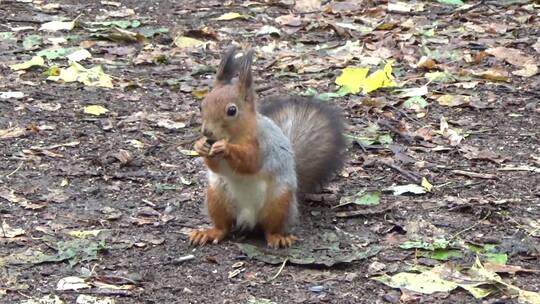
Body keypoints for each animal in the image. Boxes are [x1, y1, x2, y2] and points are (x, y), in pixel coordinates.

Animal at [188, 46, 344, 248]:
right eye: (201, 105)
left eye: (232, 110)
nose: (207, 132)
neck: (235, 135)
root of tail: (247, 219)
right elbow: (215, 167)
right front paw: (200, 146)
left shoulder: (262, 145)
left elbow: (250, 162)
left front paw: (225, 148)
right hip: (217, 198)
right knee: (223, 227)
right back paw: (208, 233)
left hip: (279, 202)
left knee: (270, 228)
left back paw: (278, 237)